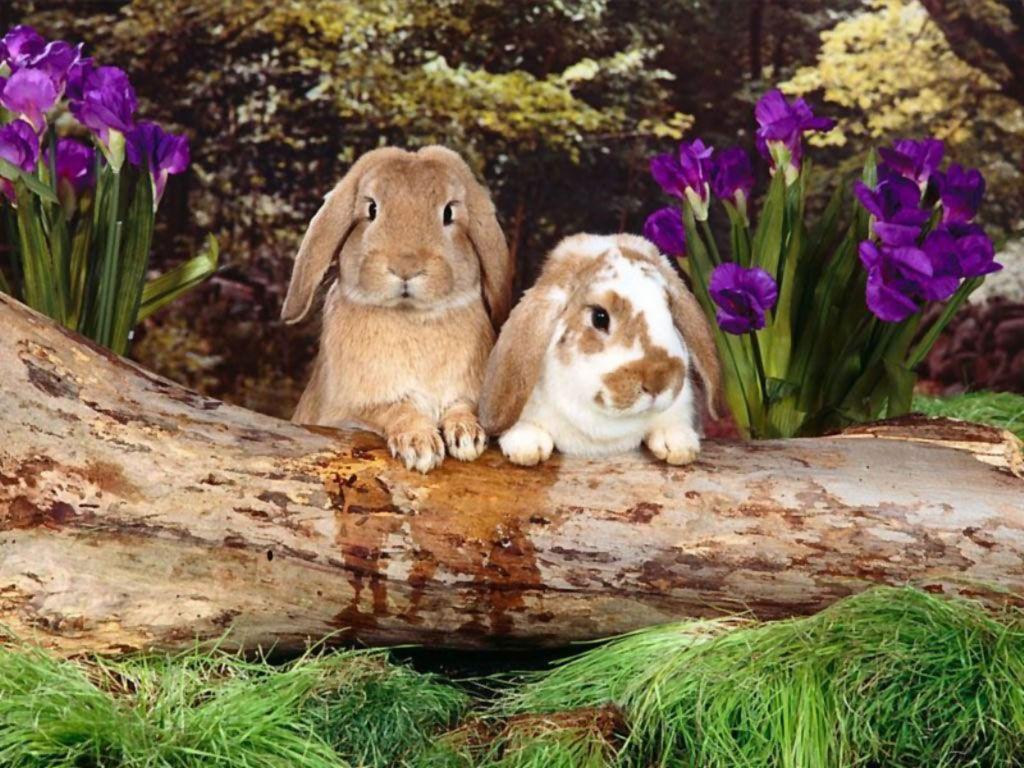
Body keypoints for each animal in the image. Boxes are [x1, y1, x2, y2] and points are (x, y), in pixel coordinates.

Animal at [281, 146, 514, 473]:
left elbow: (460, 406)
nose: (406, 266)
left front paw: (467, 436)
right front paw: (420, 446)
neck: (413, 316)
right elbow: (396, 409)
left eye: (449, 213)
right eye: (371, 209)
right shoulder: (352, 411)